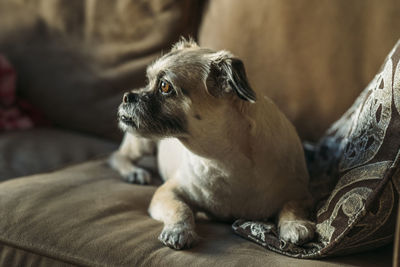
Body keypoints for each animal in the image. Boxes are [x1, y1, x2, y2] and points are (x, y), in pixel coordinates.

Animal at [110, 38, 316, 250]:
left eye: (165, 86)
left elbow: (292, 207)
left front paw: (295, 225)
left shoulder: (302, 195)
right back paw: (134, 172)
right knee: (118, 156)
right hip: (142, 143)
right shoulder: (167, 192)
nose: (127, 96)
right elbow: (181, 208)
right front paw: (179, 231)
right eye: (148, 81)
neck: (225, 160)